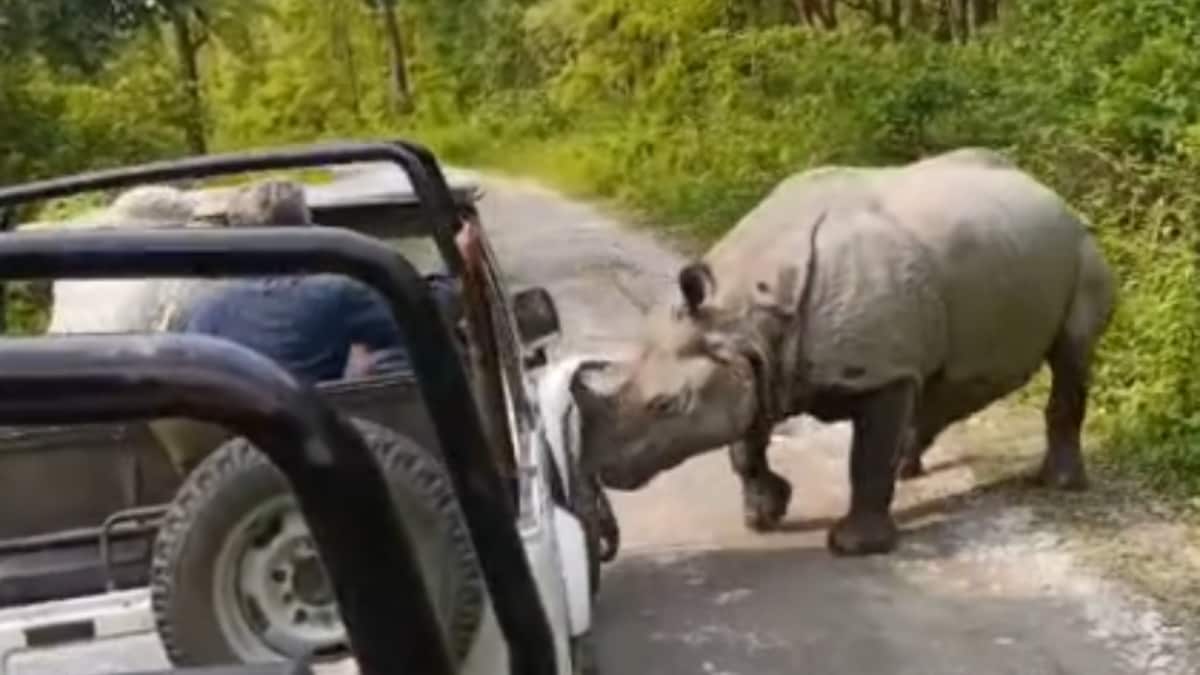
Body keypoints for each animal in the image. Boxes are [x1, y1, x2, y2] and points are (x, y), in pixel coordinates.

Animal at [571, 148, 1117, 556]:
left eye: (666, 406)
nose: (607, 471)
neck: (744, 311)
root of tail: (1051, 193)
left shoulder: (877, 372)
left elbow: (865, 457)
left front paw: (853, 546)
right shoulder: (753, 359)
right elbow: (745, 444)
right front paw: (763, 515)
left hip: (1081, 248)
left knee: (1071, 353)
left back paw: (1060, 483)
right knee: (936, 380)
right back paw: (910, 468)